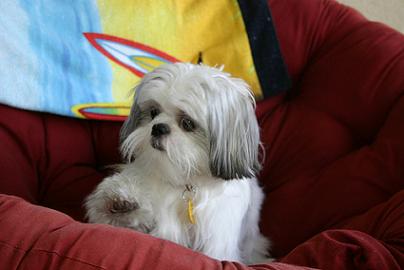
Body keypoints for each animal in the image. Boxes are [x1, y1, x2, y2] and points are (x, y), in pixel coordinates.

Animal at [83, 62, 270, 264]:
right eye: (153, 112)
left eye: (187, 123)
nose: (158, 128)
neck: (185, 182)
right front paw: (119, 201)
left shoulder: (216, 238)